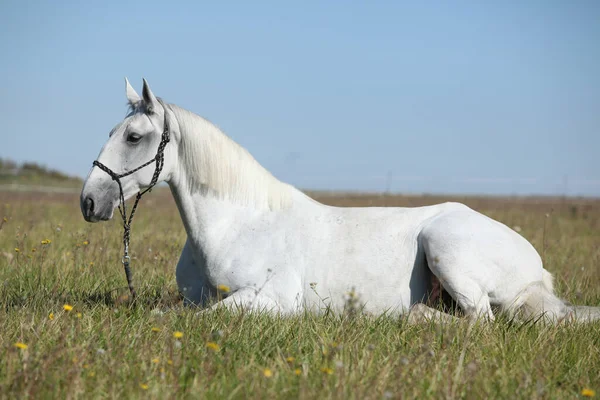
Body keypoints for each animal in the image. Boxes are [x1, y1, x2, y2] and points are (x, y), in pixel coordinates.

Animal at [81, 79, 600, 324]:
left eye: (133, 136)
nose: (89, 202)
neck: (238, 225)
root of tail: (535, 266)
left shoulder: (273, 299)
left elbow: (203, 318)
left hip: (446, 248)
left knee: (480, 323)